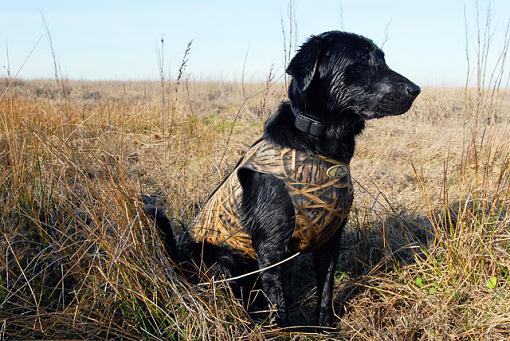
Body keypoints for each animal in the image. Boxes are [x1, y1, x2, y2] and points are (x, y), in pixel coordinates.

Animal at [145, 30, 420, 326]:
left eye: (383, 59)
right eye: (362, 61)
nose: (416, 90)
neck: (318, 143)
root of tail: (183, 267)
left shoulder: (331, 237)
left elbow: (326, 288)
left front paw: (325, 327)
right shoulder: (271, 246)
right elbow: (279, 302)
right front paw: (283, 330)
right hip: (226, 259)